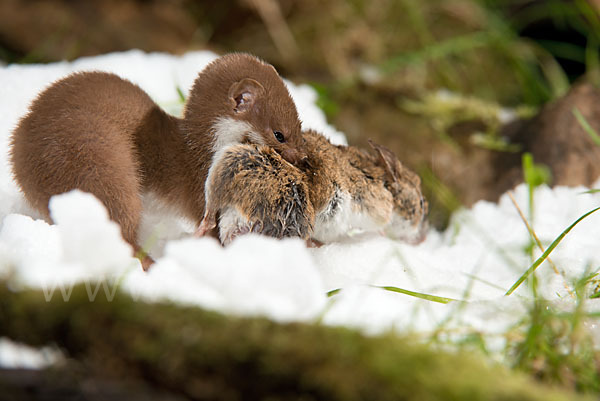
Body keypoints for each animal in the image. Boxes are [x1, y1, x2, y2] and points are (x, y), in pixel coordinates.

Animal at [10, 51, 304, 268]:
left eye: (300, 125)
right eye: (279, 134)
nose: (302, 158)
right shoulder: (202, 191)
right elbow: (210, 227)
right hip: (100, 159)